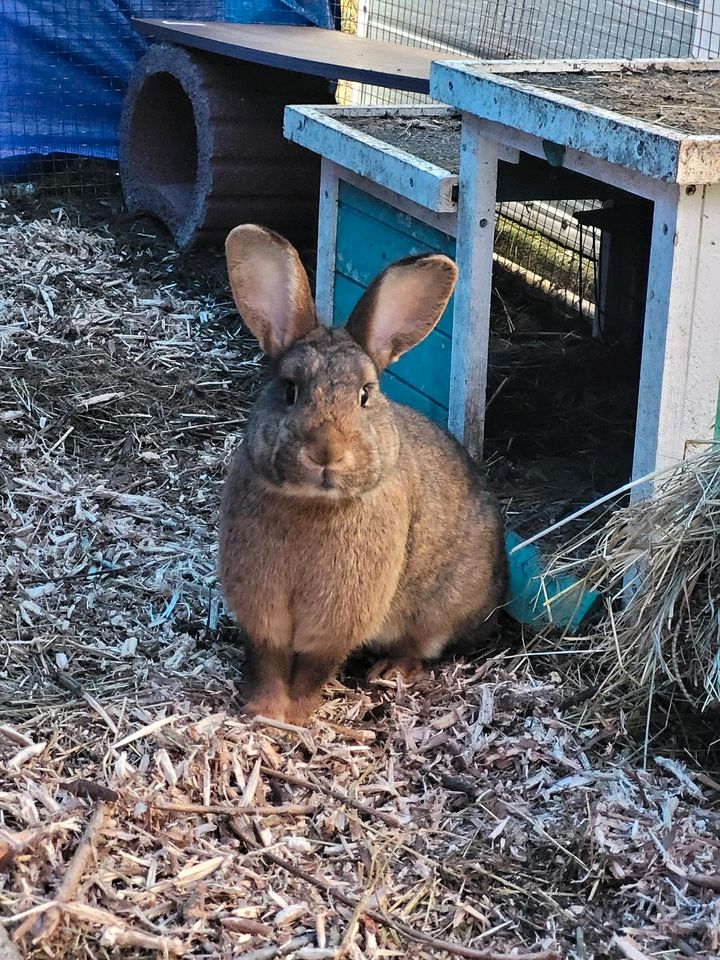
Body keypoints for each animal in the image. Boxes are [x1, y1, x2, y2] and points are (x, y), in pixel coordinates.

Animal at [219, 223, 506, 720]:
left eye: (365, 395)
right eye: (289, 390)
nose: (326, 451)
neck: (314, 503)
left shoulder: (341, 617)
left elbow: (315, 665)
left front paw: (295, 715)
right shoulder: (262, 611)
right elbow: (269, 659)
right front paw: (264, 711)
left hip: (443, 606)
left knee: (422, 646)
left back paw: (390, 670)